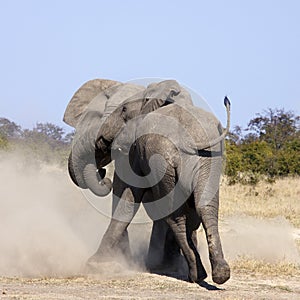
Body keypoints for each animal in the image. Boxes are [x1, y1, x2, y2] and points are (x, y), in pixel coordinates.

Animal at [92, 85, 231, 284]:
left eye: (124, 110)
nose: (103, 173)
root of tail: (186, 140)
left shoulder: (138, 150)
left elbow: (130, 195)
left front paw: (94, 264)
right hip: (207, 159)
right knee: (205, 206)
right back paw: (217, 273)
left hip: (165, 160)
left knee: (175, 216)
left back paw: (198, 274)